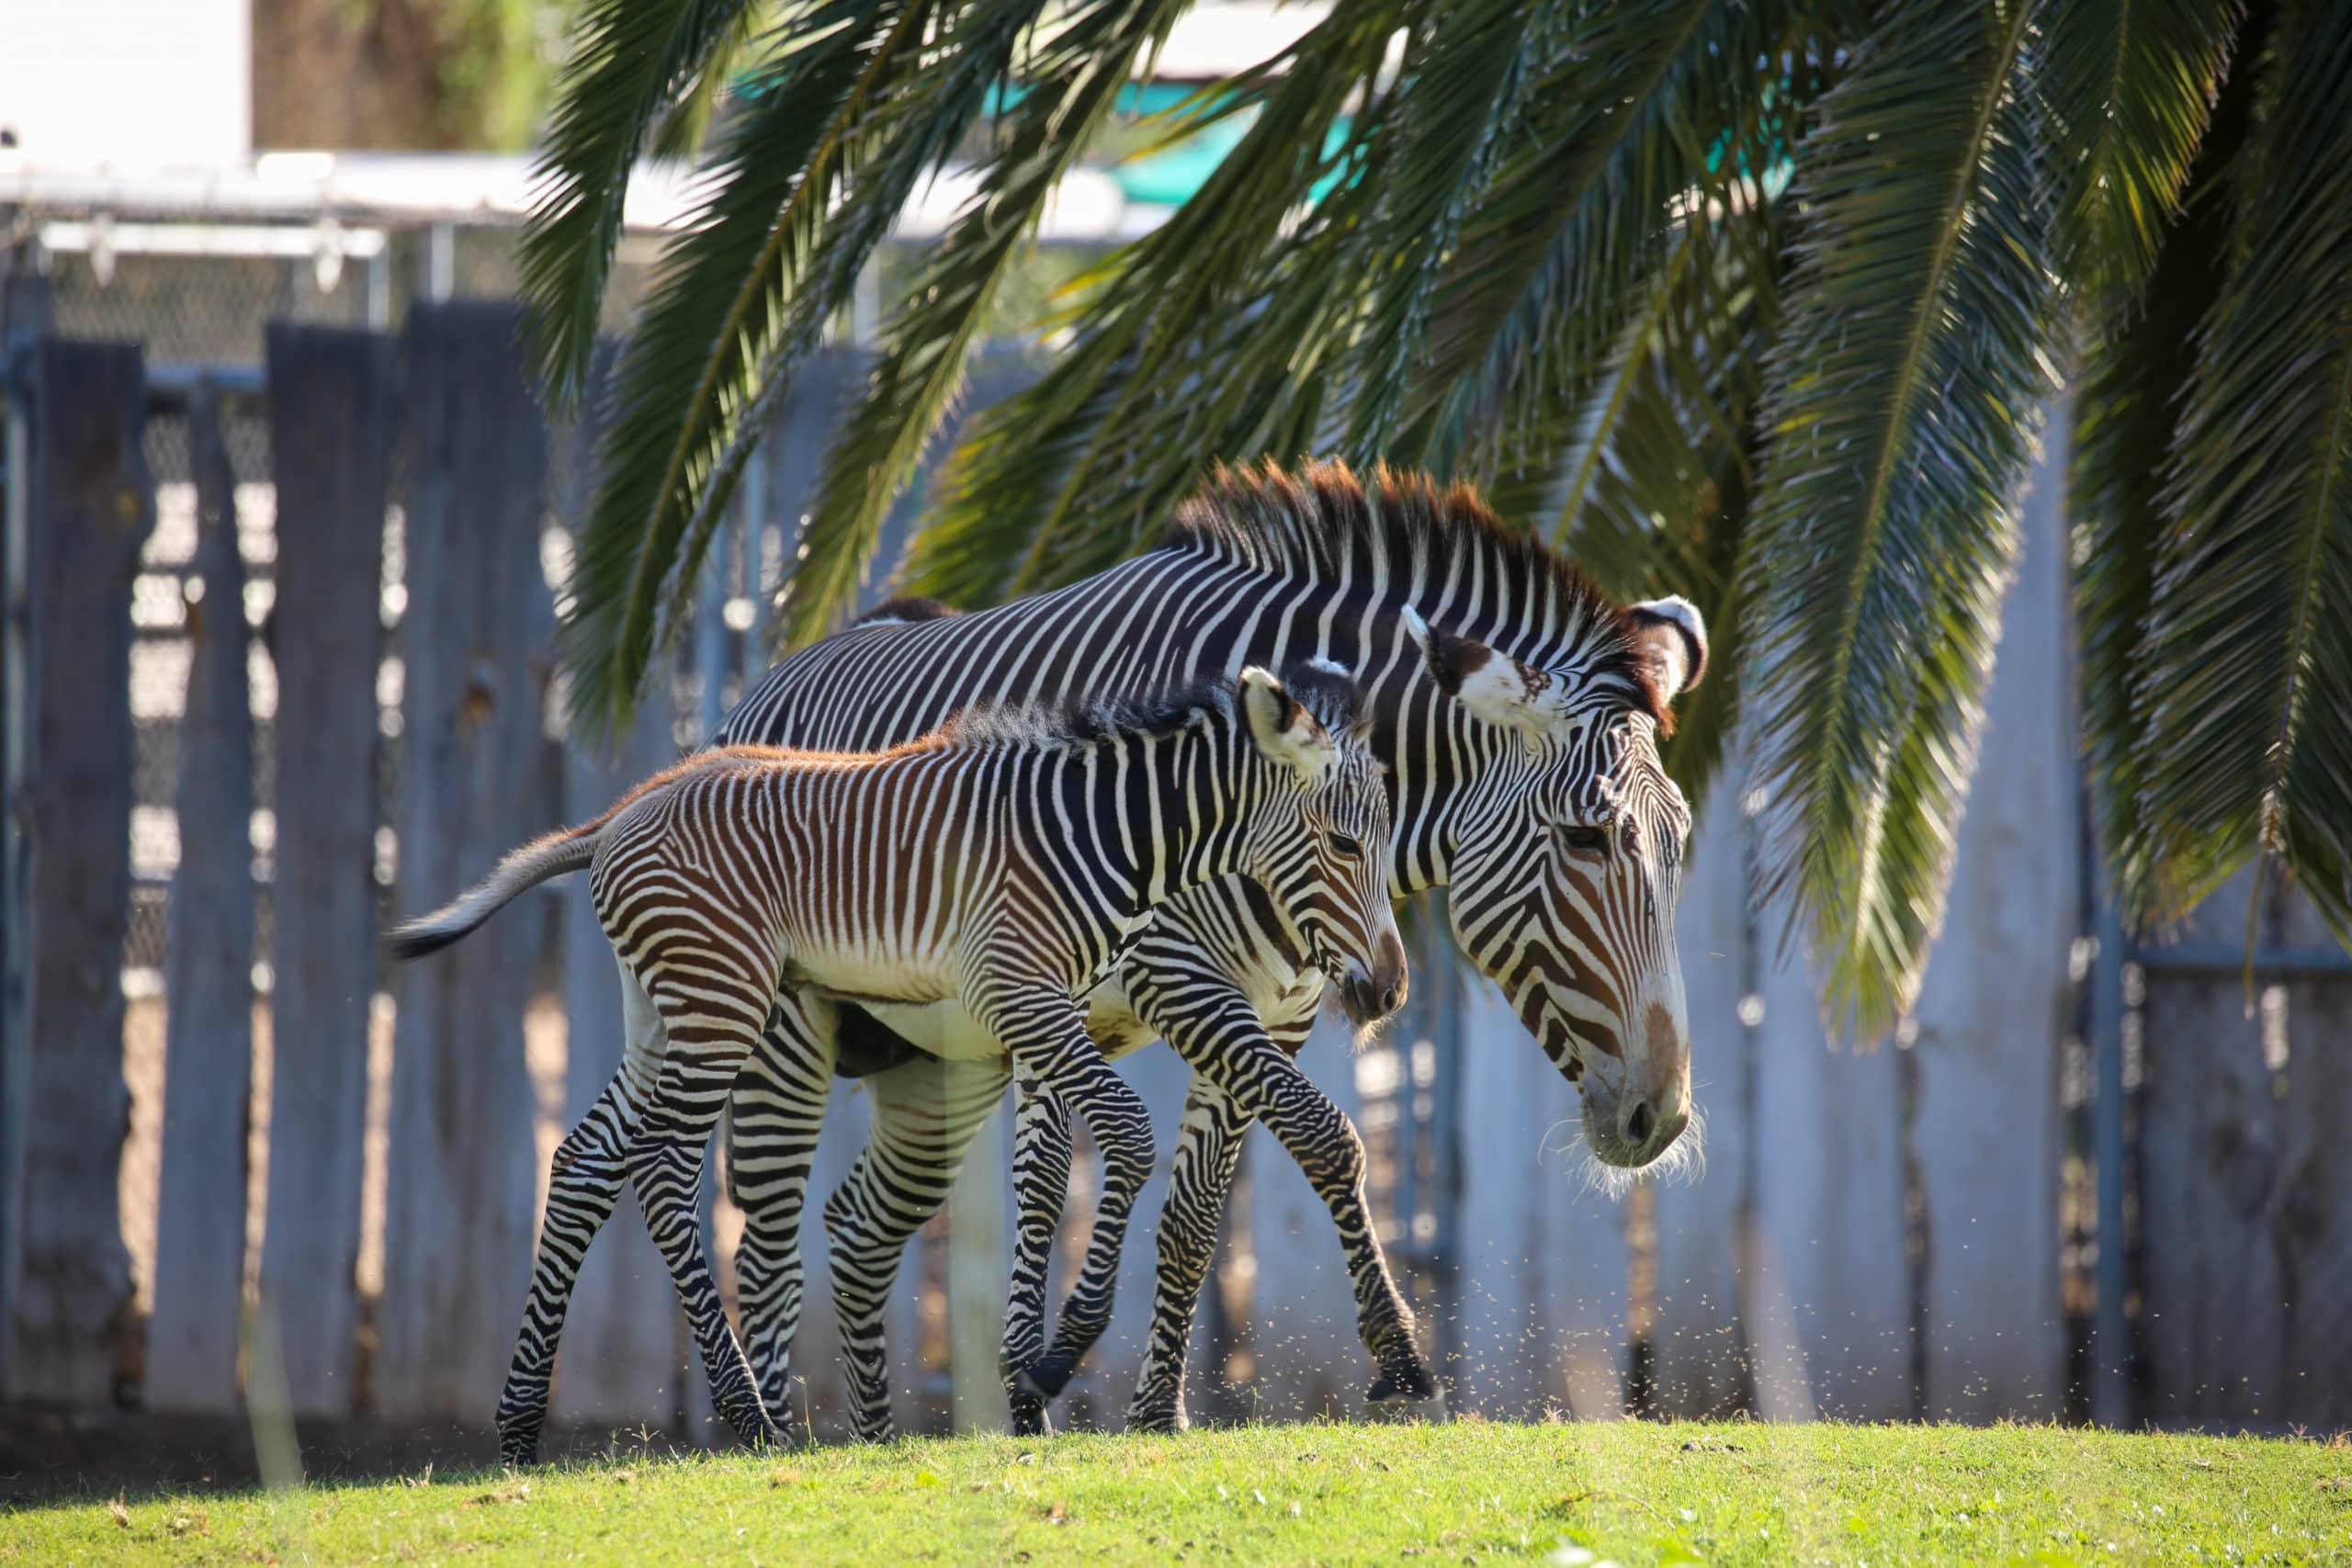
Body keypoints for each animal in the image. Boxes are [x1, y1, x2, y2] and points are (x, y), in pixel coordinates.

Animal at [389, 662, 1401, 1454]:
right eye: (1345, 842)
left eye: (1384, 842)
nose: (1389, 989)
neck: (1102, 835)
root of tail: (618, 816)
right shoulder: (1018, 990)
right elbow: (1123, 1128)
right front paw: (1062, 1347)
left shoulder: (1049, 1006)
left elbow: (1080, 1162)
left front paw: (1040, 1366)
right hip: (724, 1002)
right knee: (668, 1171)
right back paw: (748, 1415)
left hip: (662, 1010)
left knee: (585, 1159)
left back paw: (521, 1425)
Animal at [502, 459, 1707, 1455]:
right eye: (1588, 839)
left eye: (1683, 841)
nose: (1660, 1119)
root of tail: (758, 690)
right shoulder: (1180, 977)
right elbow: (1324, 1137)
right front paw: (1396, 1350)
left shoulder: (1271, 1009)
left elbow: (1195, 1212)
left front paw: (1152, 1410)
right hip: (775, 1028)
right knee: (752, 1212)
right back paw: (763, 1429)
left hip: (936, 1064)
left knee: (850, 1221)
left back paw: (875, 1433)